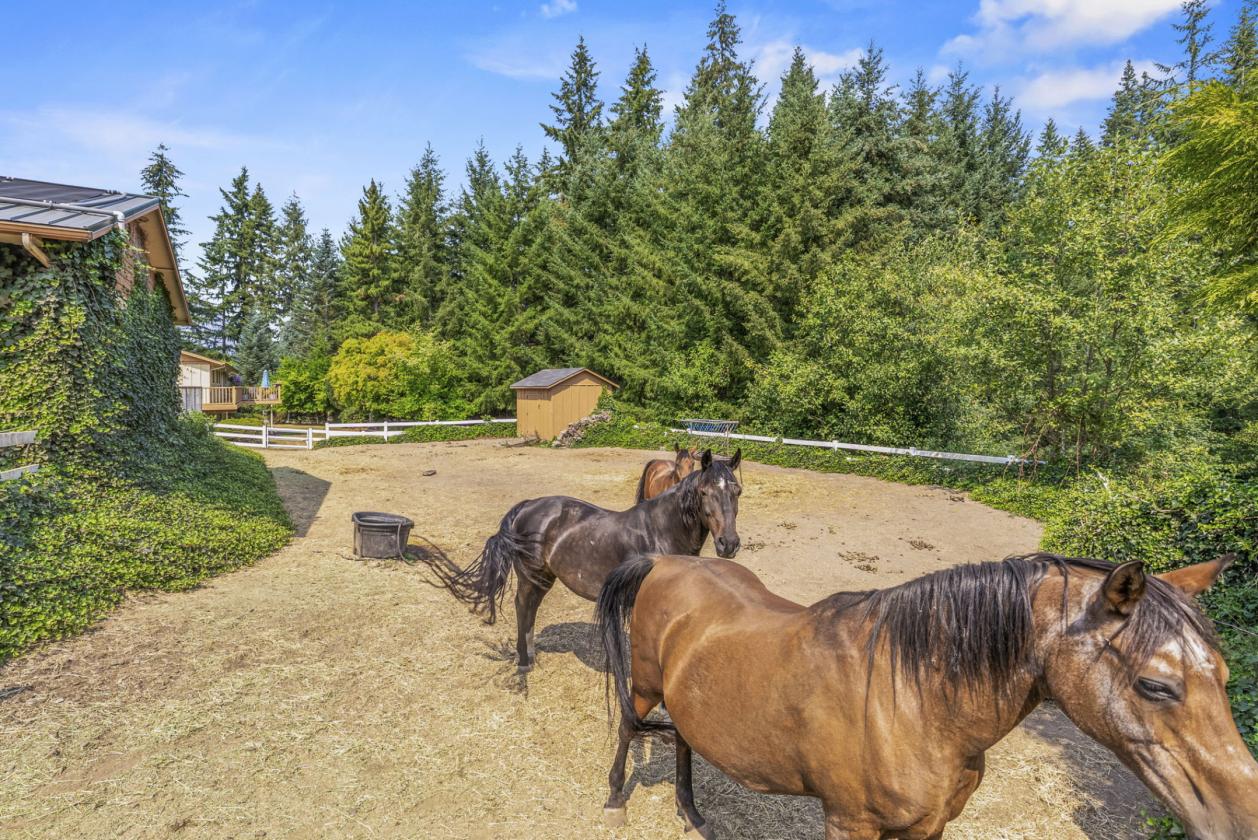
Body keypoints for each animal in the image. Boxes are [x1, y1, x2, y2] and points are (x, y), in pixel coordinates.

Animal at [428, 449, 741, 674]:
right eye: (704, 492)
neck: (659, 531)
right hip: (530, 576)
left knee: (530, 608)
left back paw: (529, 655)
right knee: (522, 606)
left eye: (736, 491)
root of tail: (527, 506)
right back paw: (524, 661)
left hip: (543, 578)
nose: (729, 543)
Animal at [595, 552, 1257, 839]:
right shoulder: (850, 825)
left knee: (684, 740)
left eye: (1225, 677)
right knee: (628, 729)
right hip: (645, 686)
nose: (1244, 817)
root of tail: (666, 560)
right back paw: (616, 801)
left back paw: (691, 811)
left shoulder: (928, 827)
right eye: (1156, 684)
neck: (912, 705)